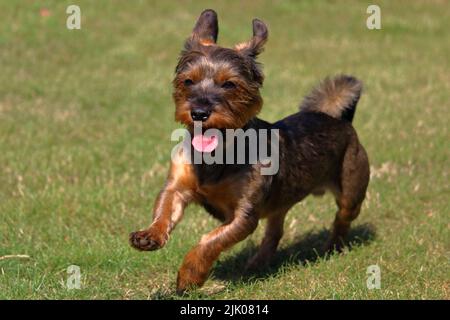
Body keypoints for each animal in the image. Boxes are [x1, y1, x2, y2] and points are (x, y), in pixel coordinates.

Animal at [129, 8, 370, 294]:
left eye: (229, 84)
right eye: (188, 81)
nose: (199, 112)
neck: (218, 157)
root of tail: (340, 120)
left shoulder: (243, 216)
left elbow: (210, 240)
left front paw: (189, 276)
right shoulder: (177, 187)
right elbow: (165, 211)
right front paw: (149, 236)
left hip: (351, 191)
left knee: (341, 219)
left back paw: (332, 248)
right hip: (281, 203)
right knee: (275, 231)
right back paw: (258, 263)